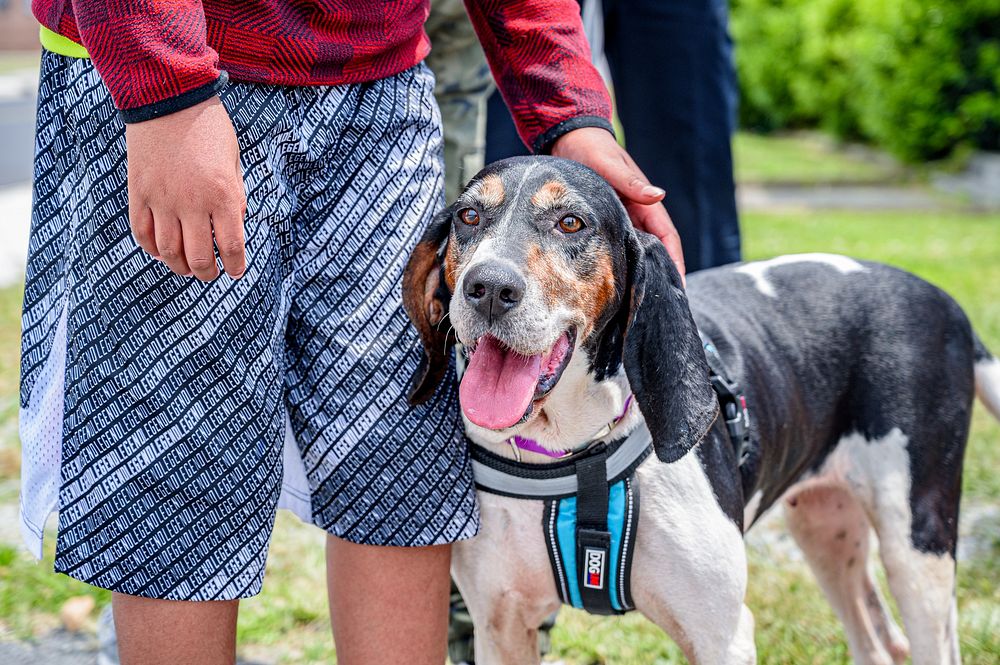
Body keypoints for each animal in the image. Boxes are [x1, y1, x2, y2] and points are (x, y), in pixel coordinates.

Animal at [400, 156, 1000, 664]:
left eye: (571, 223)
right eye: (470, 216)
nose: (488, 287)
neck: (573, 453)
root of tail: (946, 303)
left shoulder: (722, 635)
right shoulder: (501, 627)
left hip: (917, 545)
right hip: (825, 527)